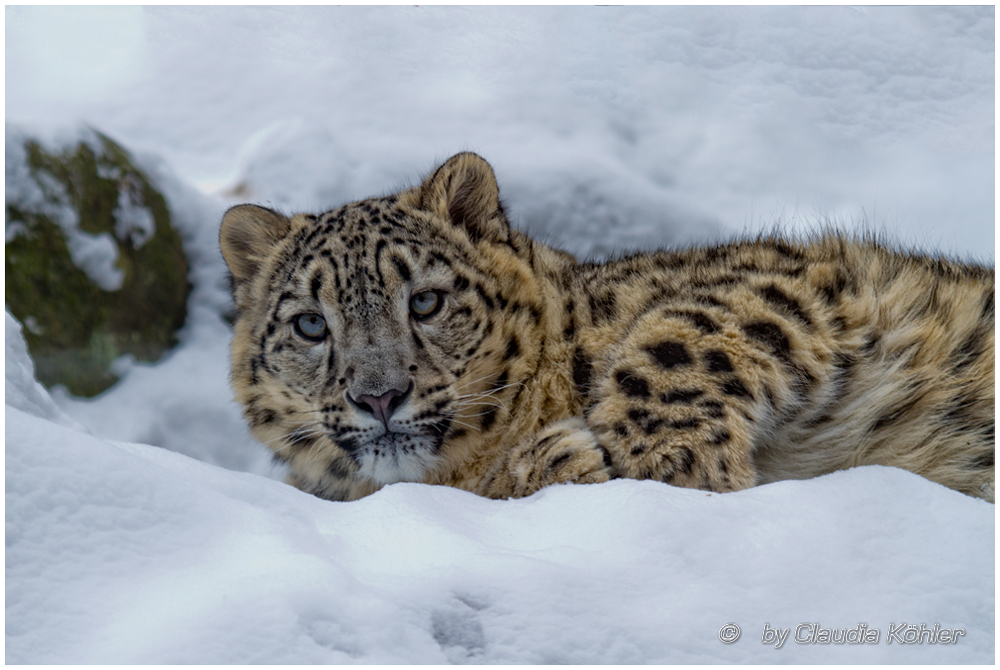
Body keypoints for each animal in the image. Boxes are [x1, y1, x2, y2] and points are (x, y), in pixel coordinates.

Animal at [219, 152, 994, 503]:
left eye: (427, 302)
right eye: (311, 324)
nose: (378, 396)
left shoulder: (787, 279)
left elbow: (681, 339)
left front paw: (669, 464)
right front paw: (561, 461)